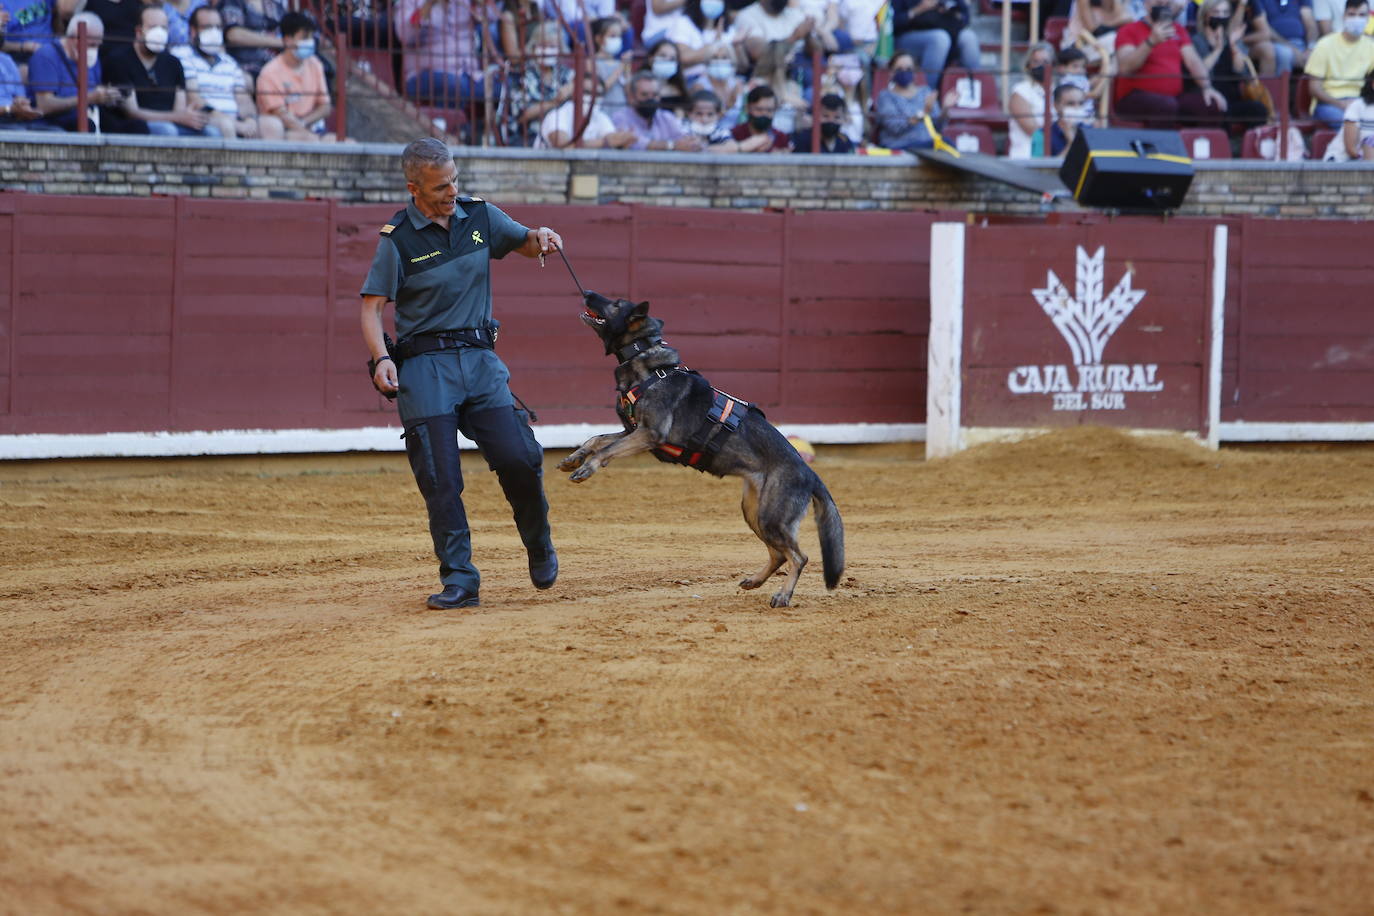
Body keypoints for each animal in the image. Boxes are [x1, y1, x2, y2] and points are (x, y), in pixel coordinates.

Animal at [560, 293, 846, 609]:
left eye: (616, 304)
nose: (587, 292)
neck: (646, 365)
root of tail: (811, 476)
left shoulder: (648, 434)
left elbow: (606, 449)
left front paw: (587, 468)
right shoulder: (632, 432)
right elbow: (597, 439)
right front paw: (574, 458)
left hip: (771, 517)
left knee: (799, 556)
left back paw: (783, 594)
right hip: (754, 512)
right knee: (779, 554)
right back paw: (755, 581)